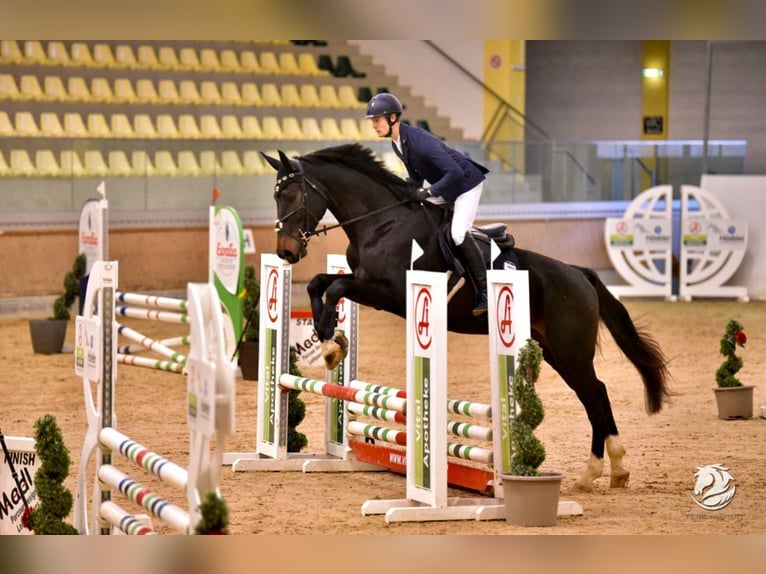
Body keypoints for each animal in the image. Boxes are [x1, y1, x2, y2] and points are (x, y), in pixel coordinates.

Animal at [264, 144, 672, 496]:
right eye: (276, 197)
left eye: (293, 196)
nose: (286, 252)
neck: (382, 222)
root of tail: (579, 274)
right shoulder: (364, 284)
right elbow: (320, 284)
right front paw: (330, 339)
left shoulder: (387, 292)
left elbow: (333, 288)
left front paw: (331, 344)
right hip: (555, 352)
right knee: (594, 396)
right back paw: (610, 471)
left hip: (571, 352)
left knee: (596, 395)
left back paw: (600, 471)